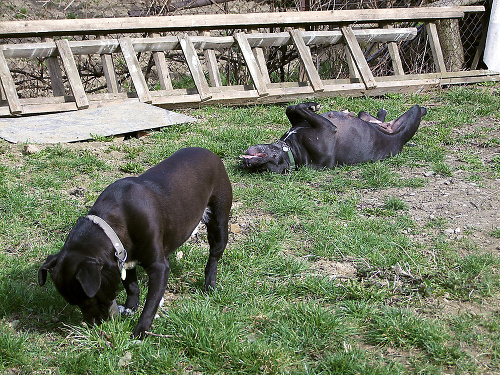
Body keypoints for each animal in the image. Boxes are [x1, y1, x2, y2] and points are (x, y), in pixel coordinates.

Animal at [38, 148, 232, 340]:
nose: (93, 325)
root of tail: (209, 153)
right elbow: (131, 286)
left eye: (89, 300)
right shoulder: (125, 259)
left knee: (214, 256)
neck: (111, 226)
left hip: (218, 223)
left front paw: (140, 331)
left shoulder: (158, 267)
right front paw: (130, 308)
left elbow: (150, 304)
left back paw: (210, 284)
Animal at [241, 102, 426, 174]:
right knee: (418, 109)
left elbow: (291, 108)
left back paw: (381, 113)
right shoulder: (328, 127)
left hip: (365, 116)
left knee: (373, 117)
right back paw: (423, 109)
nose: (246, 163)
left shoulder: (298, 122)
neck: (292, 150)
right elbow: (298, 107)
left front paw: (311, 105)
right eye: (263, 169)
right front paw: (312, 106)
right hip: (410, 118)